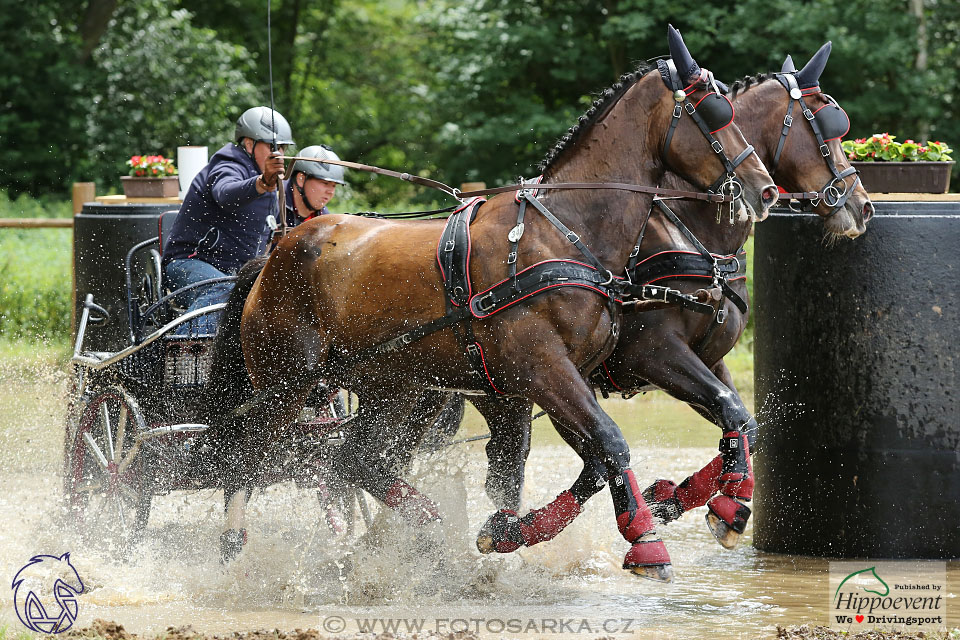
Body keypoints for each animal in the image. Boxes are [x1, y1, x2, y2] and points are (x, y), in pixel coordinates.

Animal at [204, 27, 780, 584]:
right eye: (713, 111)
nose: (764, 189)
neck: (564, 232)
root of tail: (278, 251)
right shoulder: (552, 366)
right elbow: (611, 442)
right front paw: (648, 542)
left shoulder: (560, 375)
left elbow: (617, 451)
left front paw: (510, 532)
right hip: (287, 385)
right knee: (247, 459)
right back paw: (233, 550)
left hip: (396, 389)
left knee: (357, 461)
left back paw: (427, 533)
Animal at [472, 43, 876, 556]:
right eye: (827, 124)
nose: (862, 206)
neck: (690, 229)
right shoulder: (654, 352)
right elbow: (729, 411)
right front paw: (720, 504)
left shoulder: (708, 357)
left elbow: (743, 423)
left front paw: (677, 500)